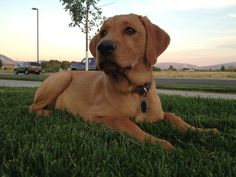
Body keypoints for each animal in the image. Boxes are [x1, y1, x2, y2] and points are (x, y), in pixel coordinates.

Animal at [30, 13, 218, 151]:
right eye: (103, 33)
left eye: (129, 30)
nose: (103, 47)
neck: (135, 90)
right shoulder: (95, 116)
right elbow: (126, 122)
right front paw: (161, 143)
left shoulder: (159, 114)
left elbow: (174, 116)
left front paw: (204, 130)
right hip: (62, 78)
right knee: (31, 107)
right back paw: (46, 113)